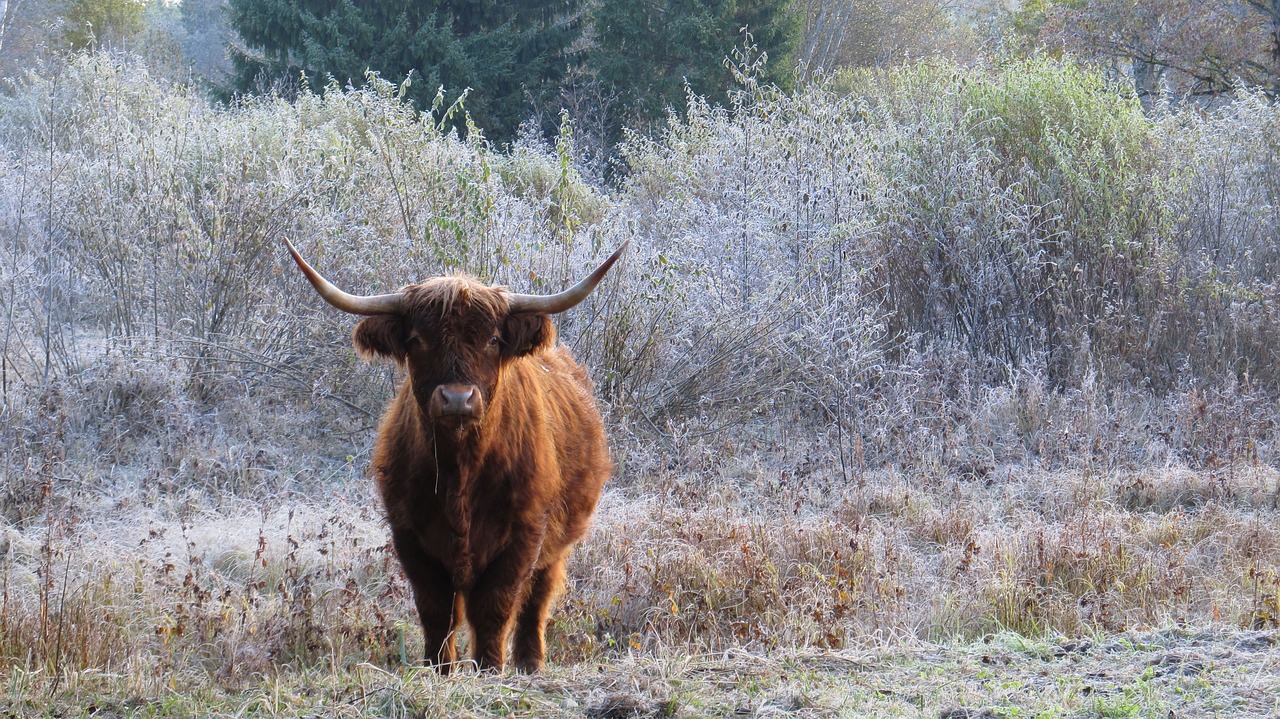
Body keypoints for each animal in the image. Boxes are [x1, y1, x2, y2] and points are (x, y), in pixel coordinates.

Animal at [284, 237, 624, 670]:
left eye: (493, 339)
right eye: (417, 340)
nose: (457, 399)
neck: (460, 470)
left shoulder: (525, 533)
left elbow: (495, 606)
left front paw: (490, 667)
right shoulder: (409, 534)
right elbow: (435, 608)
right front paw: (438, 667)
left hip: (557, 544)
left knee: (538, 599)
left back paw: (530, 663)